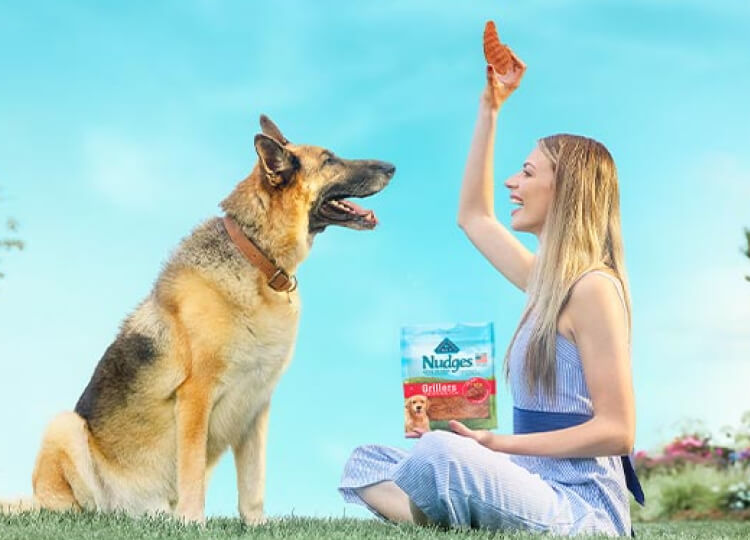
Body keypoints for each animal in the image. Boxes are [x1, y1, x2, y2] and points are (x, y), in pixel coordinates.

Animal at [0, 117, 396, 524]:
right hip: (64, 426)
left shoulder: (256, 407)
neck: (257, 258)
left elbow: (254, 483)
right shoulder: (196, 396)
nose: (392, 167)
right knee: (80, 508)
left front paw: (256, 525)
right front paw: (194, 523)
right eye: (330, 159)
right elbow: (191, 470)